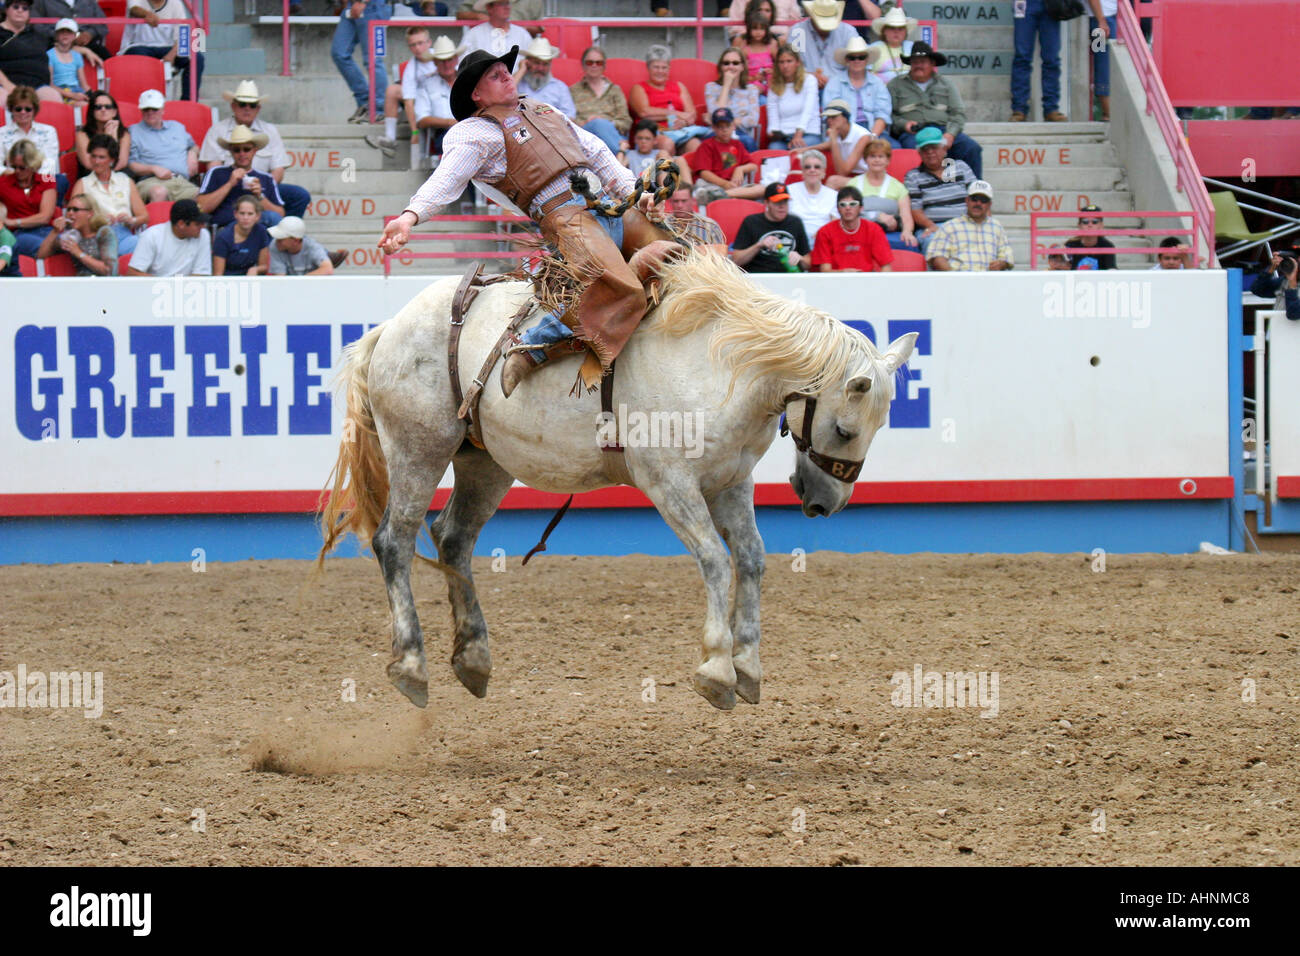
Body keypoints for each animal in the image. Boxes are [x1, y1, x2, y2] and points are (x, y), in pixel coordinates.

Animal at [317, 247, 915, 712]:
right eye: (844, 428)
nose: (825, 501)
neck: (720, 365)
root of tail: (389, 329)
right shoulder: (669, 482)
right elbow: (715, 560)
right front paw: (717, 670)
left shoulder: (731, 481)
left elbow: (751, 558)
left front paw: (747, 665)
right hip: (418, 449)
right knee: (394, 541)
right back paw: (412, 664)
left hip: (483, 463)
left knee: (453, 538)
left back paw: (473, 658)